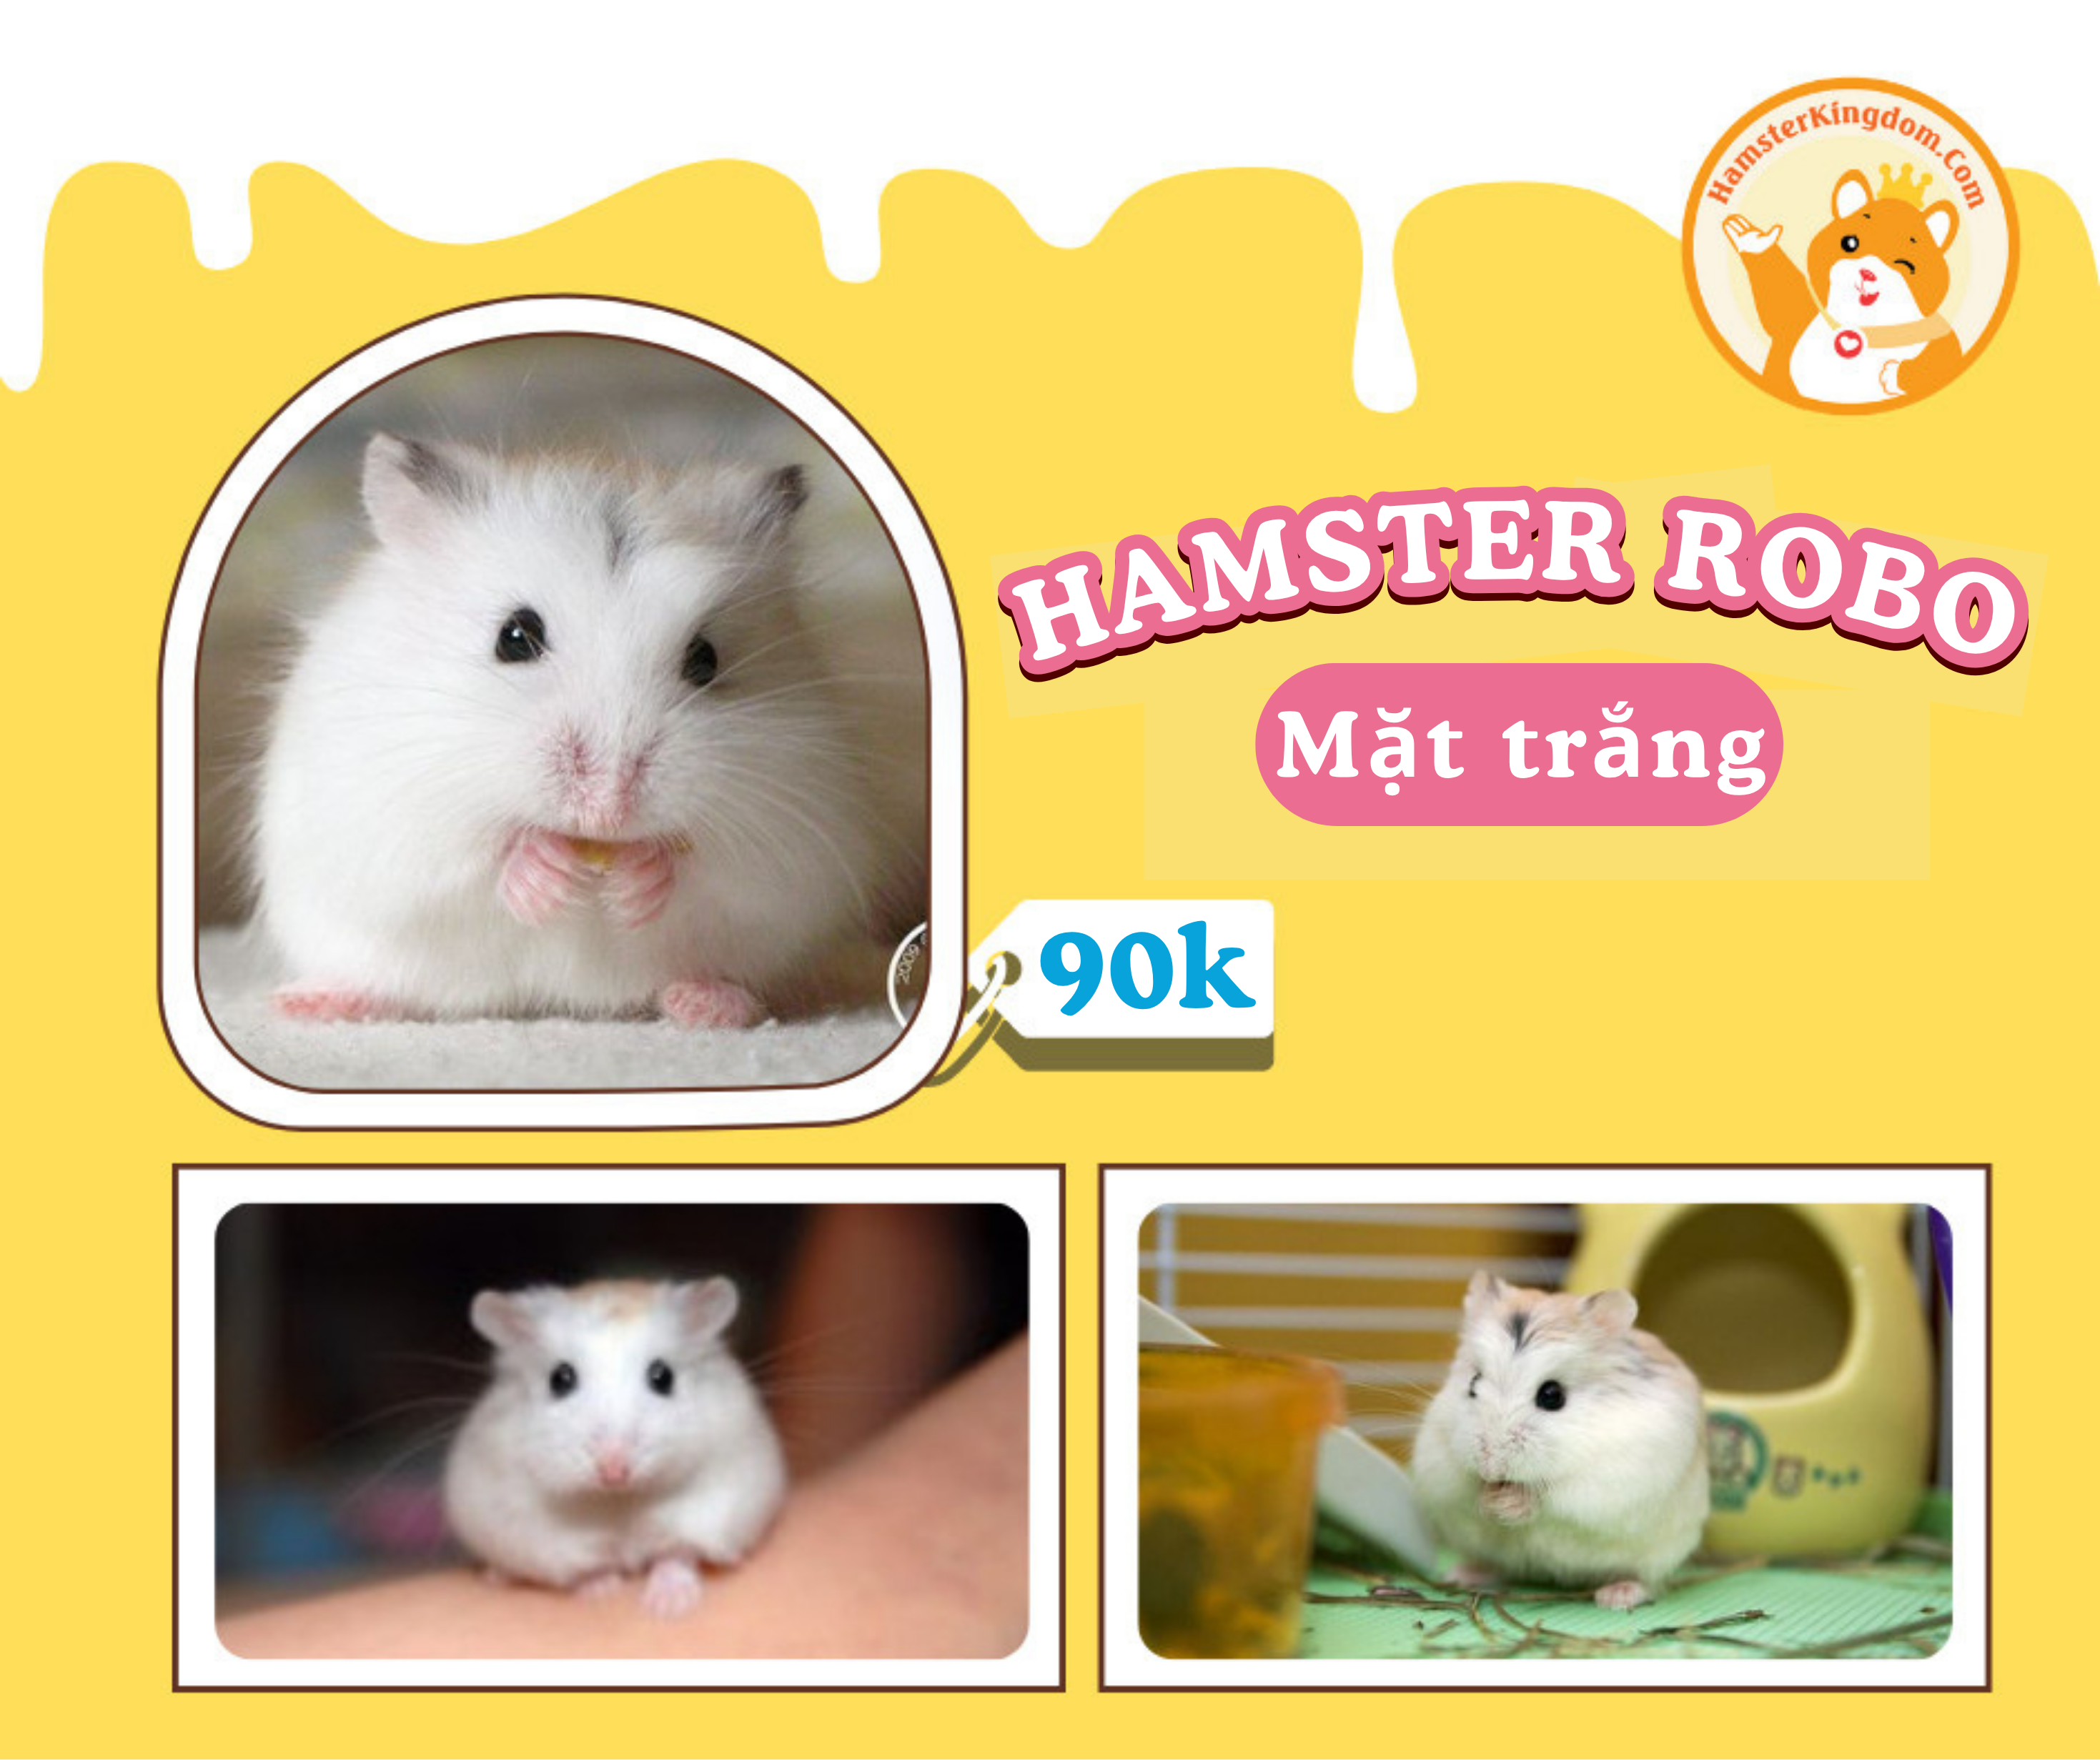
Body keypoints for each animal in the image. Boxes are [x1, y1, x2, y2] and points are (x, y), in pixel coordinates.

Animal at [253, 433, 906, 1027]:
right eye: (514, 637)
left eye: (705, 658)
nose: (608, 806)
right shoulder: (396, 811)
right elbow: (480, 853)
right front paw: (544, 871)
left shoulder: (791, 835)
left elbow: (715, 872)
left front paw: (637, 883)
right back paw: (310, 1003)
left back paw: (709, 1005)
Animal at [443, 1277, 787, 1618]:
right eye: (560, 1379)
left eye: (663, 1376)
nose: (614, 1471)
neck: (619, 1498)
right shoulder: (534, 1531)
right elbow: (581, 1567)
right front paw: (602, 1592)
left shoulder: (717, 1504)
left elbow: (679, 1551)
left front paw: (669, 1606)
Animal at [1411, 1271, 1709, 1611]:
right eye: (1473, 1383)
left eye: (1552, 1395)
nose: (1490, 1464)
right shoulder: (1439, 1462)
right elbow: (1466, 1487)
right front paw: (1489, 1498)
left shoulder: (1611, 1477)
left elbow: (1551, 1496)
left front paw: (1509, 1502)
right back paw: (1461, 1575)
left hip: (1658, 1553)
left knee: (1644, 1579)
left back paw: (1616, 1597)